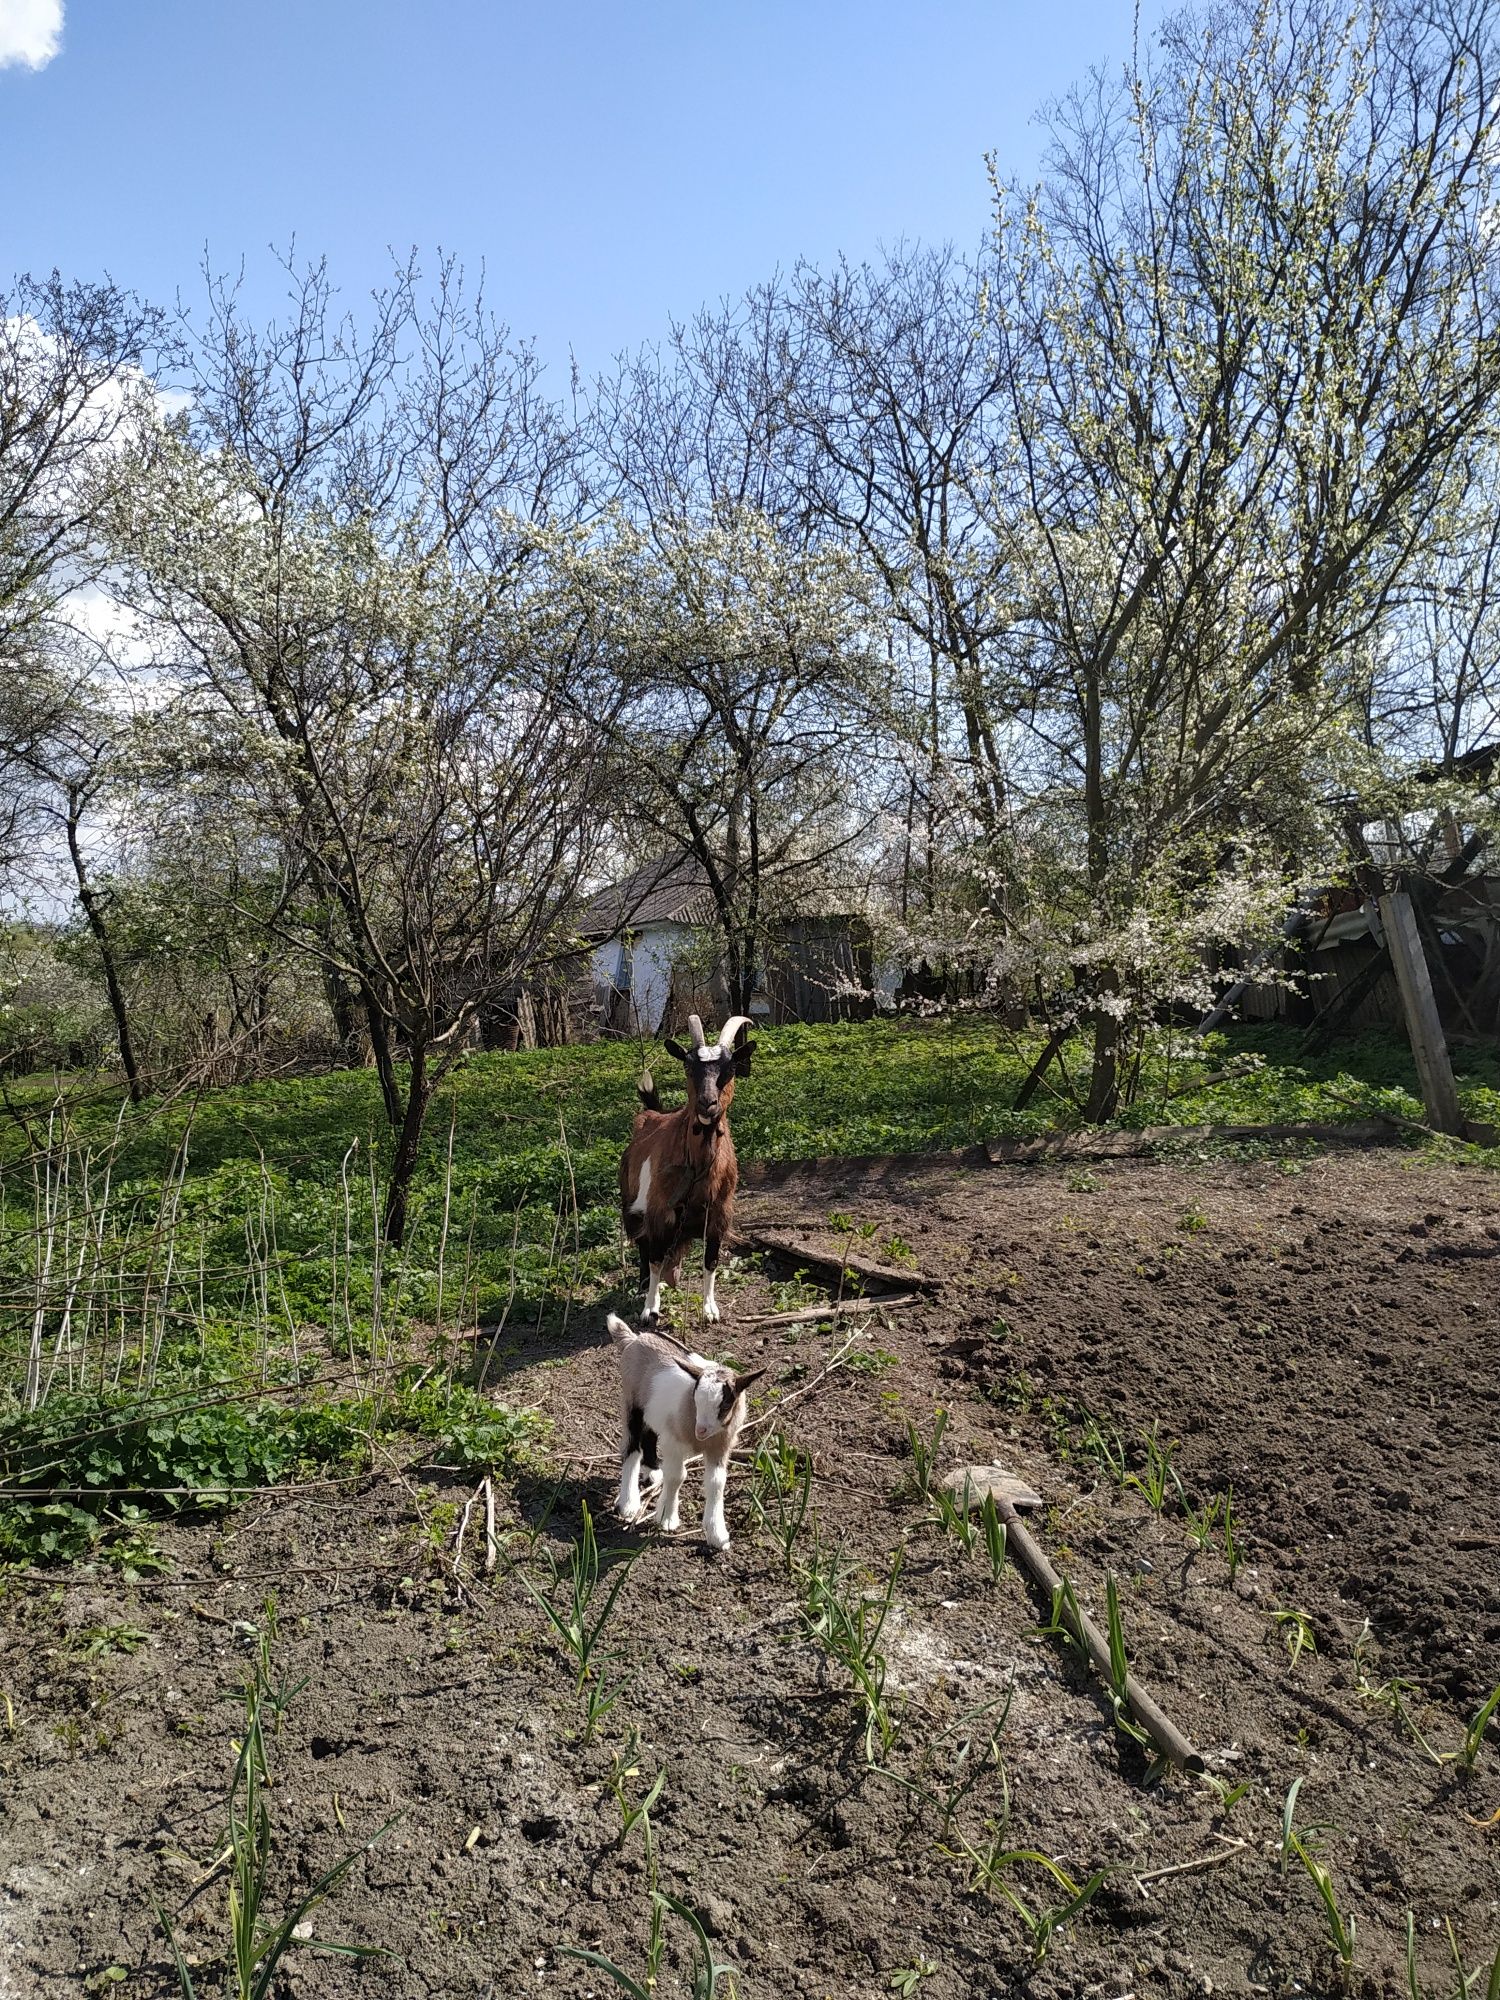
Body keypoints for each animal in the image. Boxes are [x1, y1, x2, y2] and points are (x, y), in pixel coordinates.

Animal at [620, 1008, 756, 1320]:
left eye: (730, 1068)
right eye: (688, 1067)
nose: (708, 1104)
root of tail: (651, 1114)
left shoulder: (719, 1216)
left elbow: (711, 1262)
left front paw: (710, 1309)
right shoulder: (658, 1212)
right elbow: (655, 1258)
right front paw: (650, 1308)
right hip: (631, 1205)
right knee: (644, 1248)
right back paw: (645, 1288)